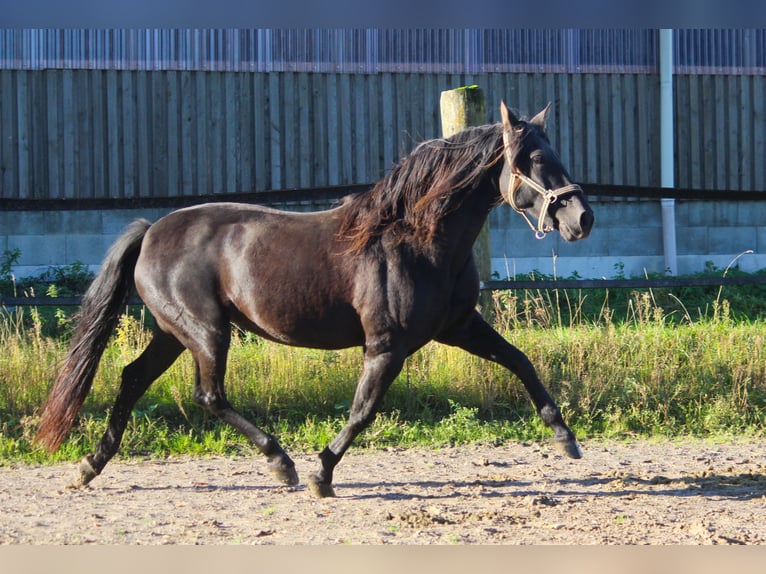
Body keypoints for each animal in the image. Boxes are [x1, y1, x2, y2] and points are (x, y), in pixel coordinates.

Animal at [37, 101, 592, 498]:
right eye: (532, 160)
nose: (581, 218)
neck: (416, 238)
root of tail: (152, 230)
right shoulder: (386, 345)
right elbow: (363, 410)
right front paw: (321, 474)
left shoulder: (459, 327)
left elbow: (520, 361)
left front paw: (566, 438)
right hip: (206, 331)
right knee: (208, 395)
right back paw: (280, 464)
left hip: (174, 333)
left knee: (133, 379)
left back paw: (88, 466)